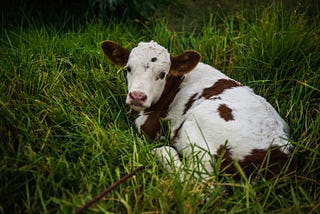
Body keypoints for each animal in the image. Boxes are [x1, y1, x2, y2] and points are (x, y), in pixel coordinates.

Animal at [100, 40, 292, 181]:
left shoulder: (150, 125)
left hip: (199, 127)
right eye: (128, 68)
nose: (137, 96)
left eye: (162, 74)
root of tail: (278, 152)